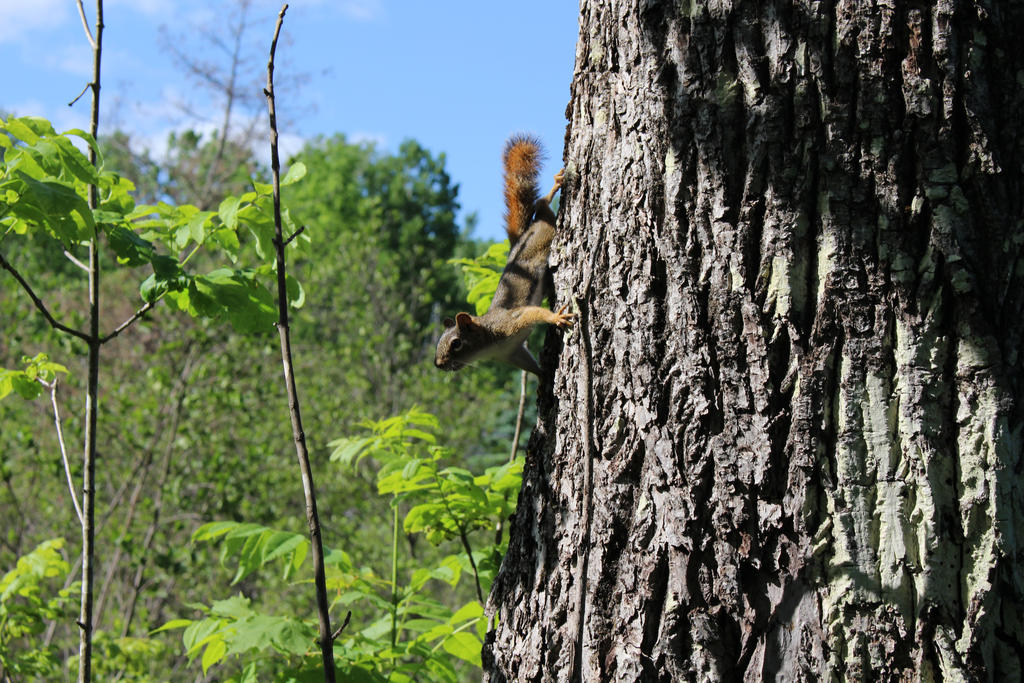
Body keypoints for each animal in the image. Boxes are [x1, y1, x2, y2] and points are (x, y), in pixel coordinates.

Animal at [434, 135, 577, 376]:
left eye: (456, 343)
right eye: (439, 343)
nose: (438, 364)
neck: (487, 338)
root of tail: (522, 236)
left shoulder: (510, 322)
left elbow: (533, 313)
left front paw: (555, 317)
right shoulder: (511, 353)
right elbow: (529, 365)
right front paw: (543, 376)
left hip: (547, 227)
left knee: (541, 205)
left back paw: (555, 185)